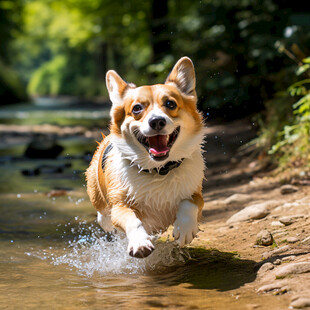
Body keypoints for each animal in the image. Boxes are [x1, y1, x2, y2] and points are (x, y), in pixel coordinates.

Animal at [86, 57, 205, 258]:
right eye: (137, 108)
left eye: (171, 104)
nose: (156, 121)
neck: (158, 170)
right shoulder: (120, 206)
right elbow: (133, 220)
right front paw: (140, 243)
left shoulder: (197, 194)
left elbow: (189, 204)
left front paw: (185, 229)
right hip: (97, 192)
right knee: (103, 216)